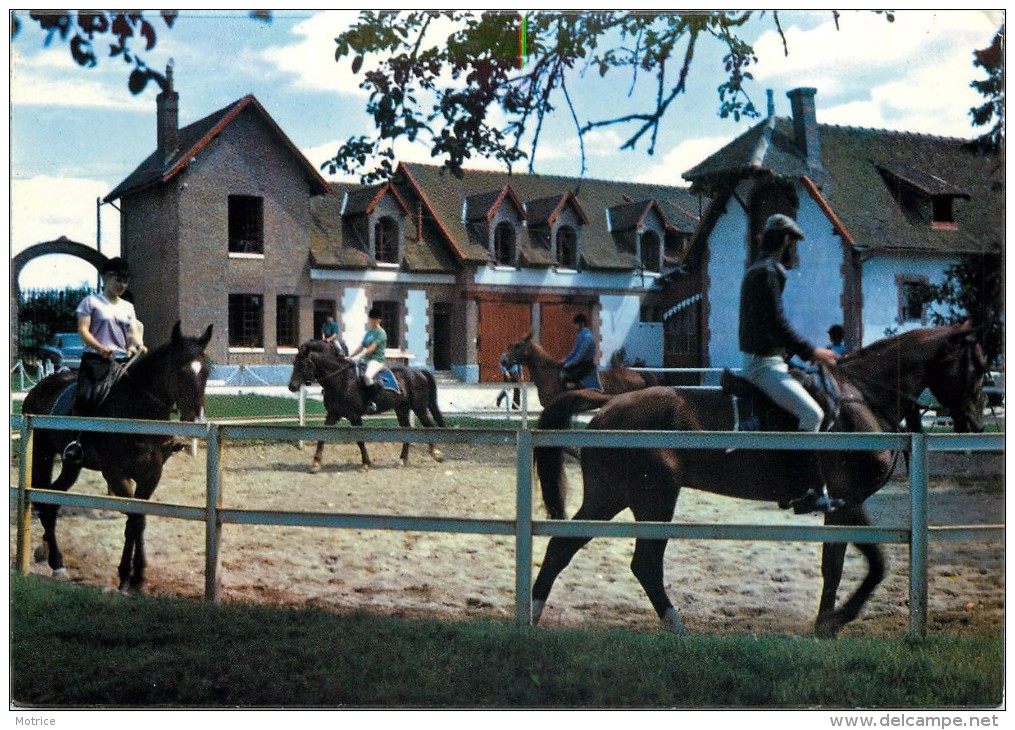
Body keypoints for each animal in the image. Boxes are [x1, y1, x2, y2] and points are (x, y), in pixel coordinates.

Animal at [21, 322, 213, 592]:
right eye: (180, 370)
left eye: (206, 371)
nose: (197, 419)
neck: (137, 414)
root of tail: (39, 387)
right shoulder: (116, 475)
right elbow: (133, 519)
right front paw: (125, 577)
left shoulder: (151, 475)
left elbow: (139, 520)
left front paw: (138, 577)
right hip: (42, 454)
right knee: (43, 499)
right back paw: (56, 562)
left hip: (71, 465)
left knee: (52, 501)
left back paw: (53, 559)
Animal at [286, 341, 444, 473]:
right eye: (294, 363)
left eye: (302, 364)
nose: (292, 386)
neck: (340, 380)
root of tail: (418, 372)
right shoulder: (332, 414)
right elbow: (321, 436)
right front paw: (316, 463)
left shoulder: (354, 416)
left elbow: (360, 440)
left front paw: (365, 464)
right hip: (402, 410)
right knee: (408, 431)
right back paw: (402, 460)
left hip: (419, 408)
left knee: (429, 427)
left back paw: (436, 454)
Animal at [535, 322, 986, 637]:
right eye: (977, 367)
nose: (976, 425)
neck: (861, 399)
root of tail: (610, 403)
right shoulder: (850, 497)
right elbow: (876, 565)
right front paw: (837, 619)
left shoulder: (839, 506)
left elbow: (834, 565)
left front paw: (825, 624)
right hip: (651, 499)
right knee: (642, 562)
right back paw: (675, 627)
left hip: (613, 497)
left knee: (564, 547)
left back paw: (533, 614)